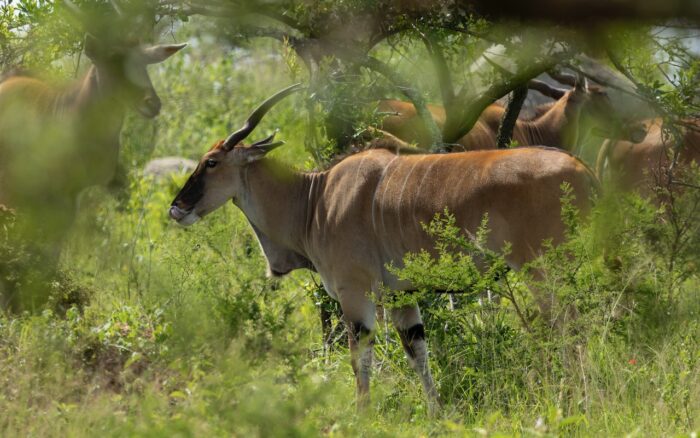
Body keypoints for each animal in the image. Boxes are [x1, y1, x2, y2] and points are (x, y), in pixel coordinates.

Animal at [169, 84, 599, 412]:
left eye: (211, 162)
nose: (177, 208)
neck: (314, 198)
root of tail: (581, 167)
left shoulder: (355, 294)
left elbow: (360, 360)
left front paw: (362, 417)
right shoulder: (401, 297)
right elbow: (418, 353)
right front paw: (437, 414)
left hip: (544, 273)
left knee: (571, 330)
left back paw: (576, 399)